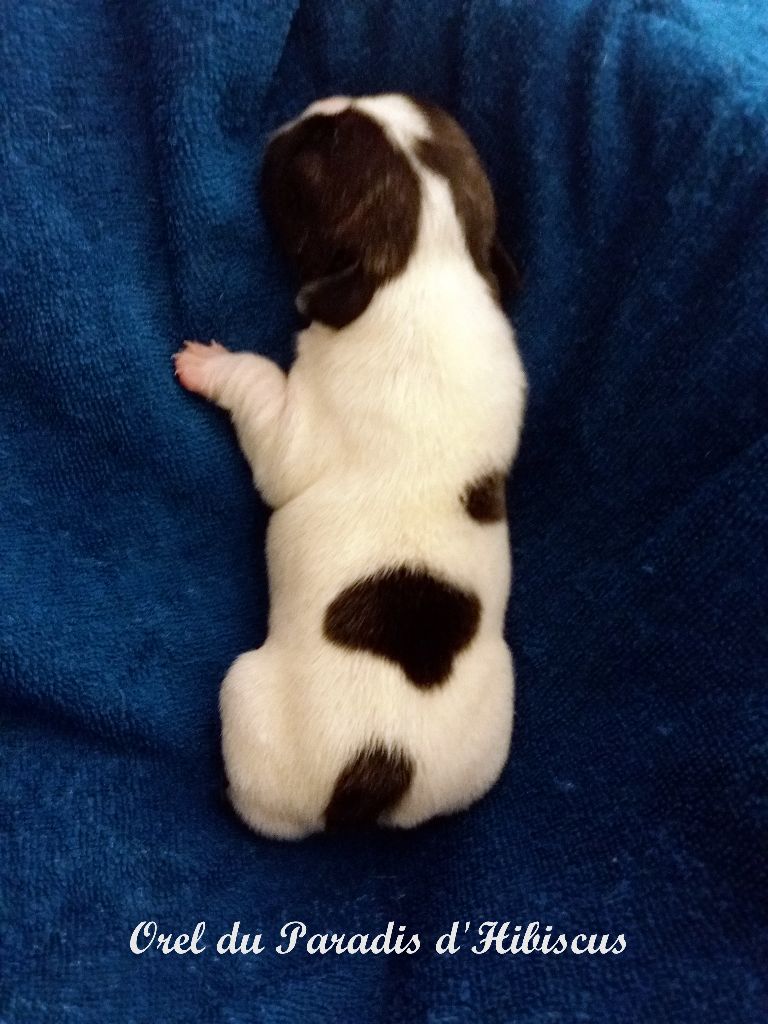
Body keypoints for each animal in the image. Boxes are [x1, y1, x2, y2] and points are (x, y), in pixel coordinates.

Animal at [174, 94, 526, 839]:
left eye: (313, 157)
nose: (308, 108)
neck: (425, 265)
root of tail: (377, 768)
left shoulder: (292, 432)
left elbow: (259, 386)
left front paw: (210, 363)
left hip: (247, 702)